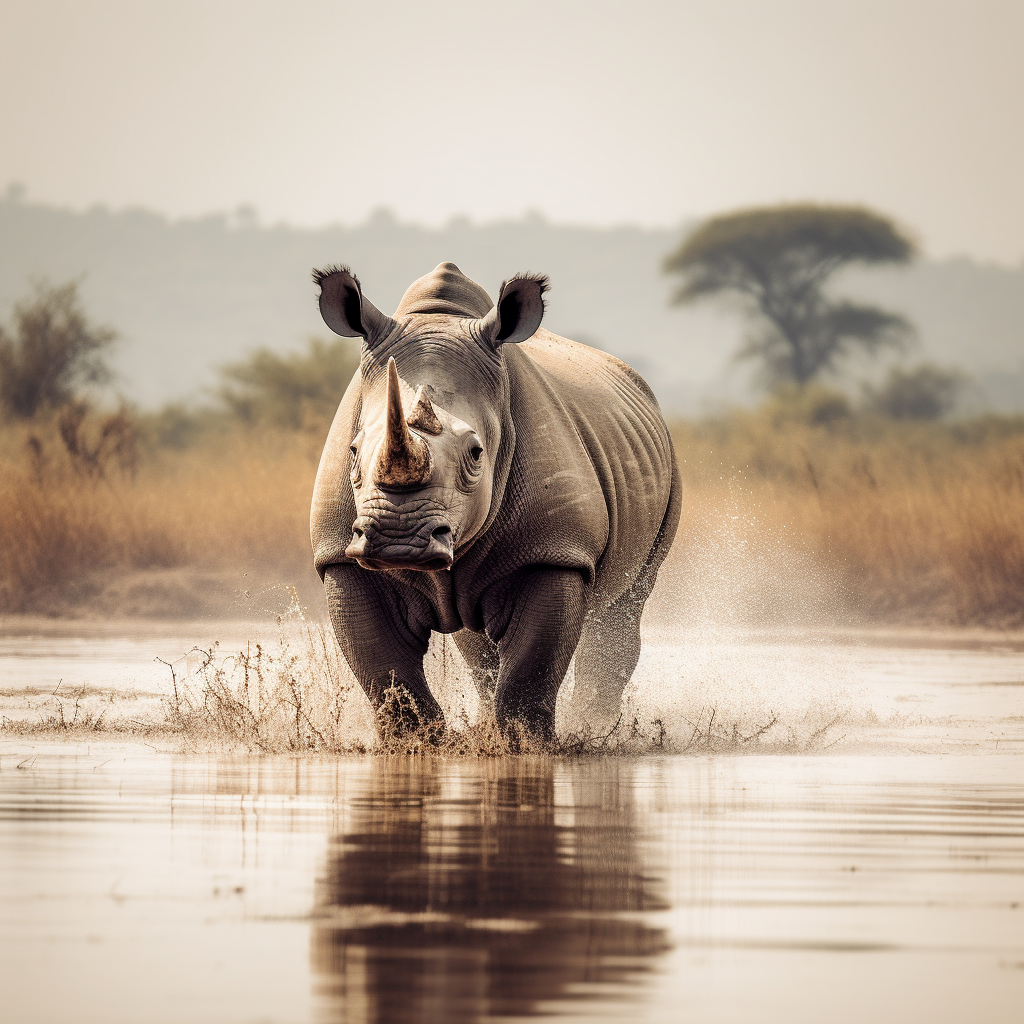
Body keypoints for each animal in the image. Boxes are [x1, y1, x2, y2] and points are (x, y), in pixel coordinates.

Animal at [310, 262, 680, 742]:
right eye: (353, 451)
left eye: (476, 453)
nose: (398, 539)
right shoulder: (341, 555)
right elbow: (387, 672)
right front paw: (417, 744)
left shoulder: (554, 552)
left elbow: (529, 671)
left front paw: (526, 744)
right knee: (478, 646)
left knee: (622, 610)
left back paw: (596, 729)